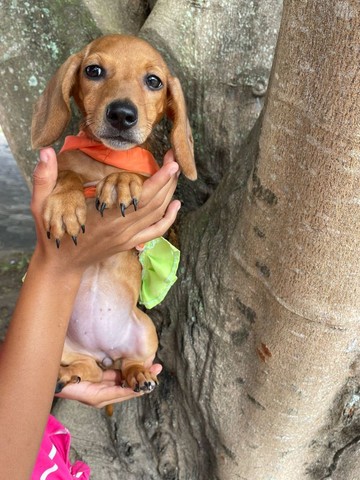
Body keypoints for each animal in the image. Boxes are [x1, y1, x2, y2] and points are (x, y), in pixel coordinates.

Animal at [31, 34, 197, 394]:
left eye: (154, 81)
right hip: (63, 344)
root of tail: (103, 352)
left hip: (146, 329)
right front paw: (65, 205)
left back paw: (139, 375)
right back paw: (71, 374)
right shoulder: (64, 167)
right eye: (93, 70)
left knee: (129, 362)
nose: (122, 114)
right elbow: (68, 173)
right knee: (89, 369)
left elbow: (137, 177)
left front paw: (122, 181)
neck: (107, 158)